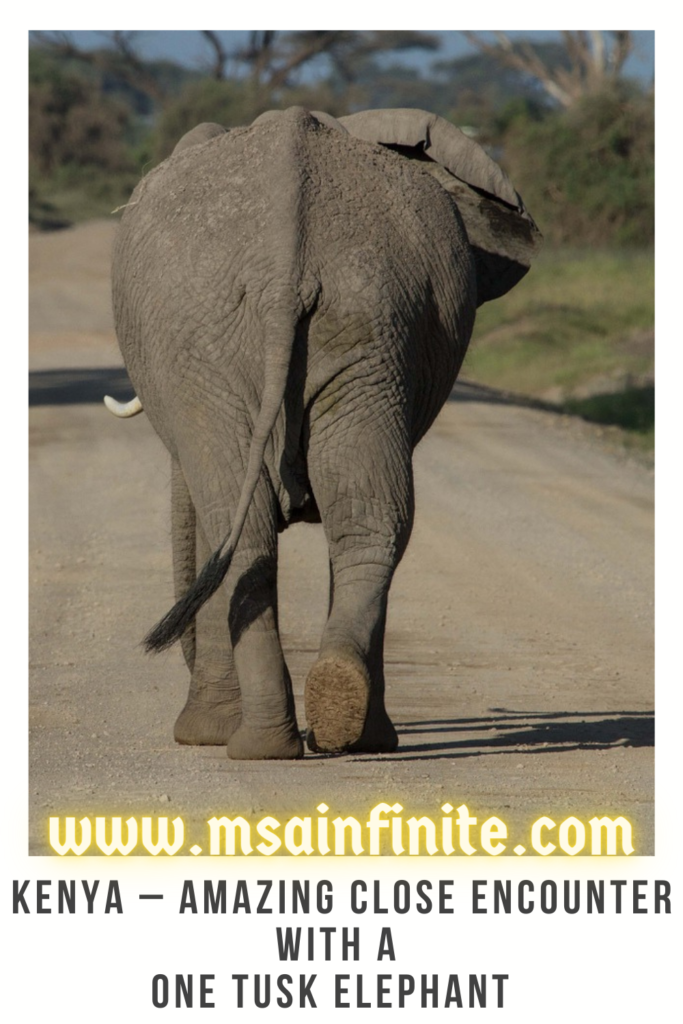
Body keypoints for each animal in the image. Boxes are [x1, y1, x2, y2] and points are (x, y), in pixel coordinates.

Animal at [108, 105, 540, 761]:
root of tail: (284, 265)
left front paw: (200, 735)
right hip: (368, 322)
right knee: (366, 516)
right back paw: (343, 725)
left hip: (224, 342)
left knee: (241, 525)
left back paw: (255, 744)